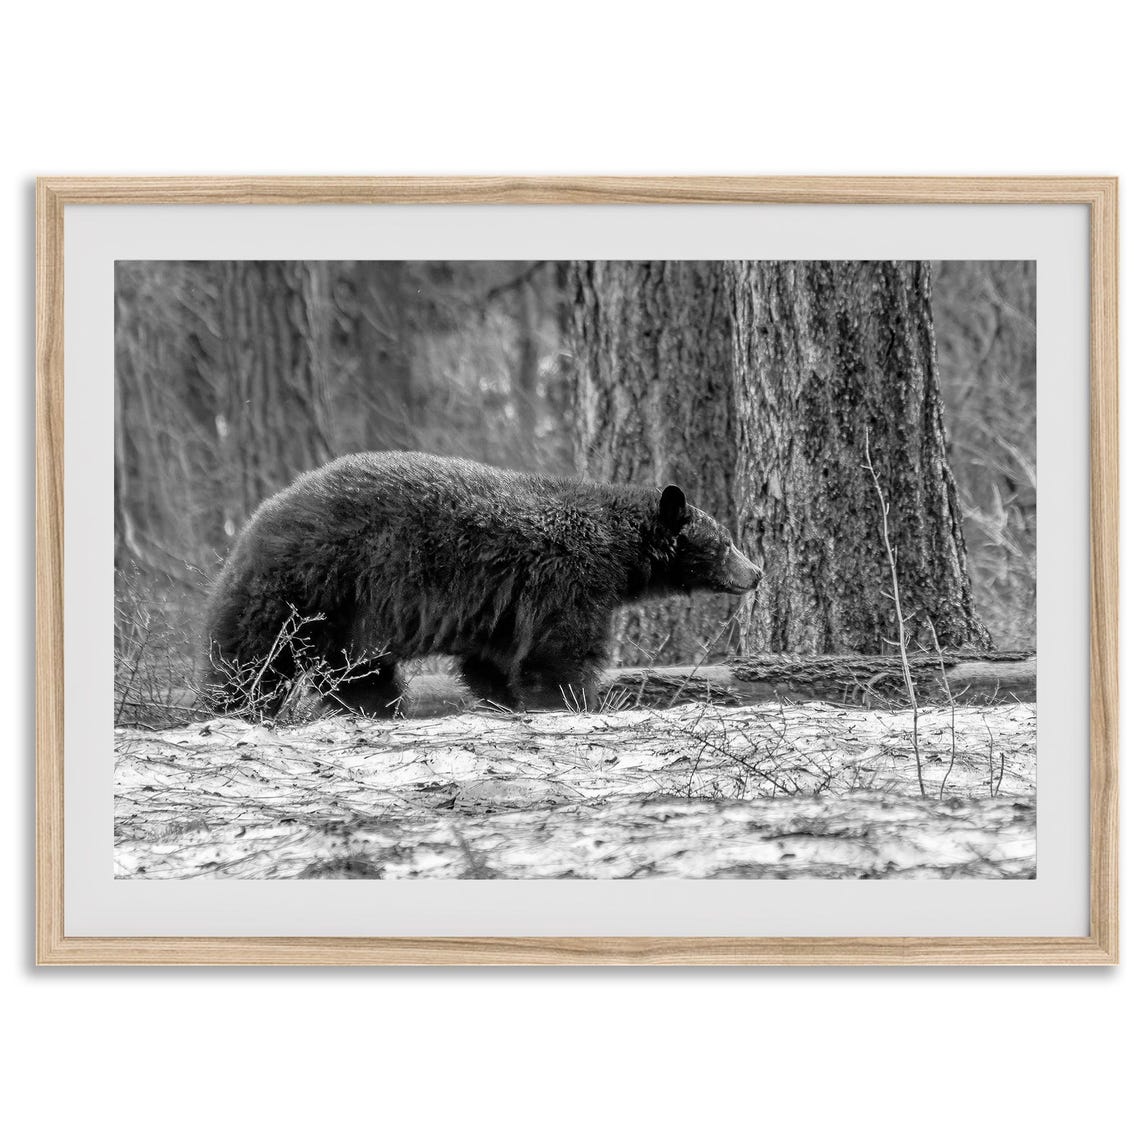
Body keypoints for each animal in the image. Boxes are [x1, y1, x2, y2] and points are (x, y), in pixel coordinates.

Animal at [202, 451, 761, 717]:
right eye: (726, 542)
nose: (756, 573)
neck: (618, 554)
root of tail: (253, 524)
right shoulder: (567, 579)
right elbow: (560, 651)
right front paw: (576, 700)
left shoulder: (502, 604)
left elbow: (492, 660)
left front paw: (507, 700)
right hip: (311, 588)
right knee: (250, 660)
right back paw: (233, 707)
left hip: (342, 619)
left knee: (357, 673)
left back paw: (379, 709)